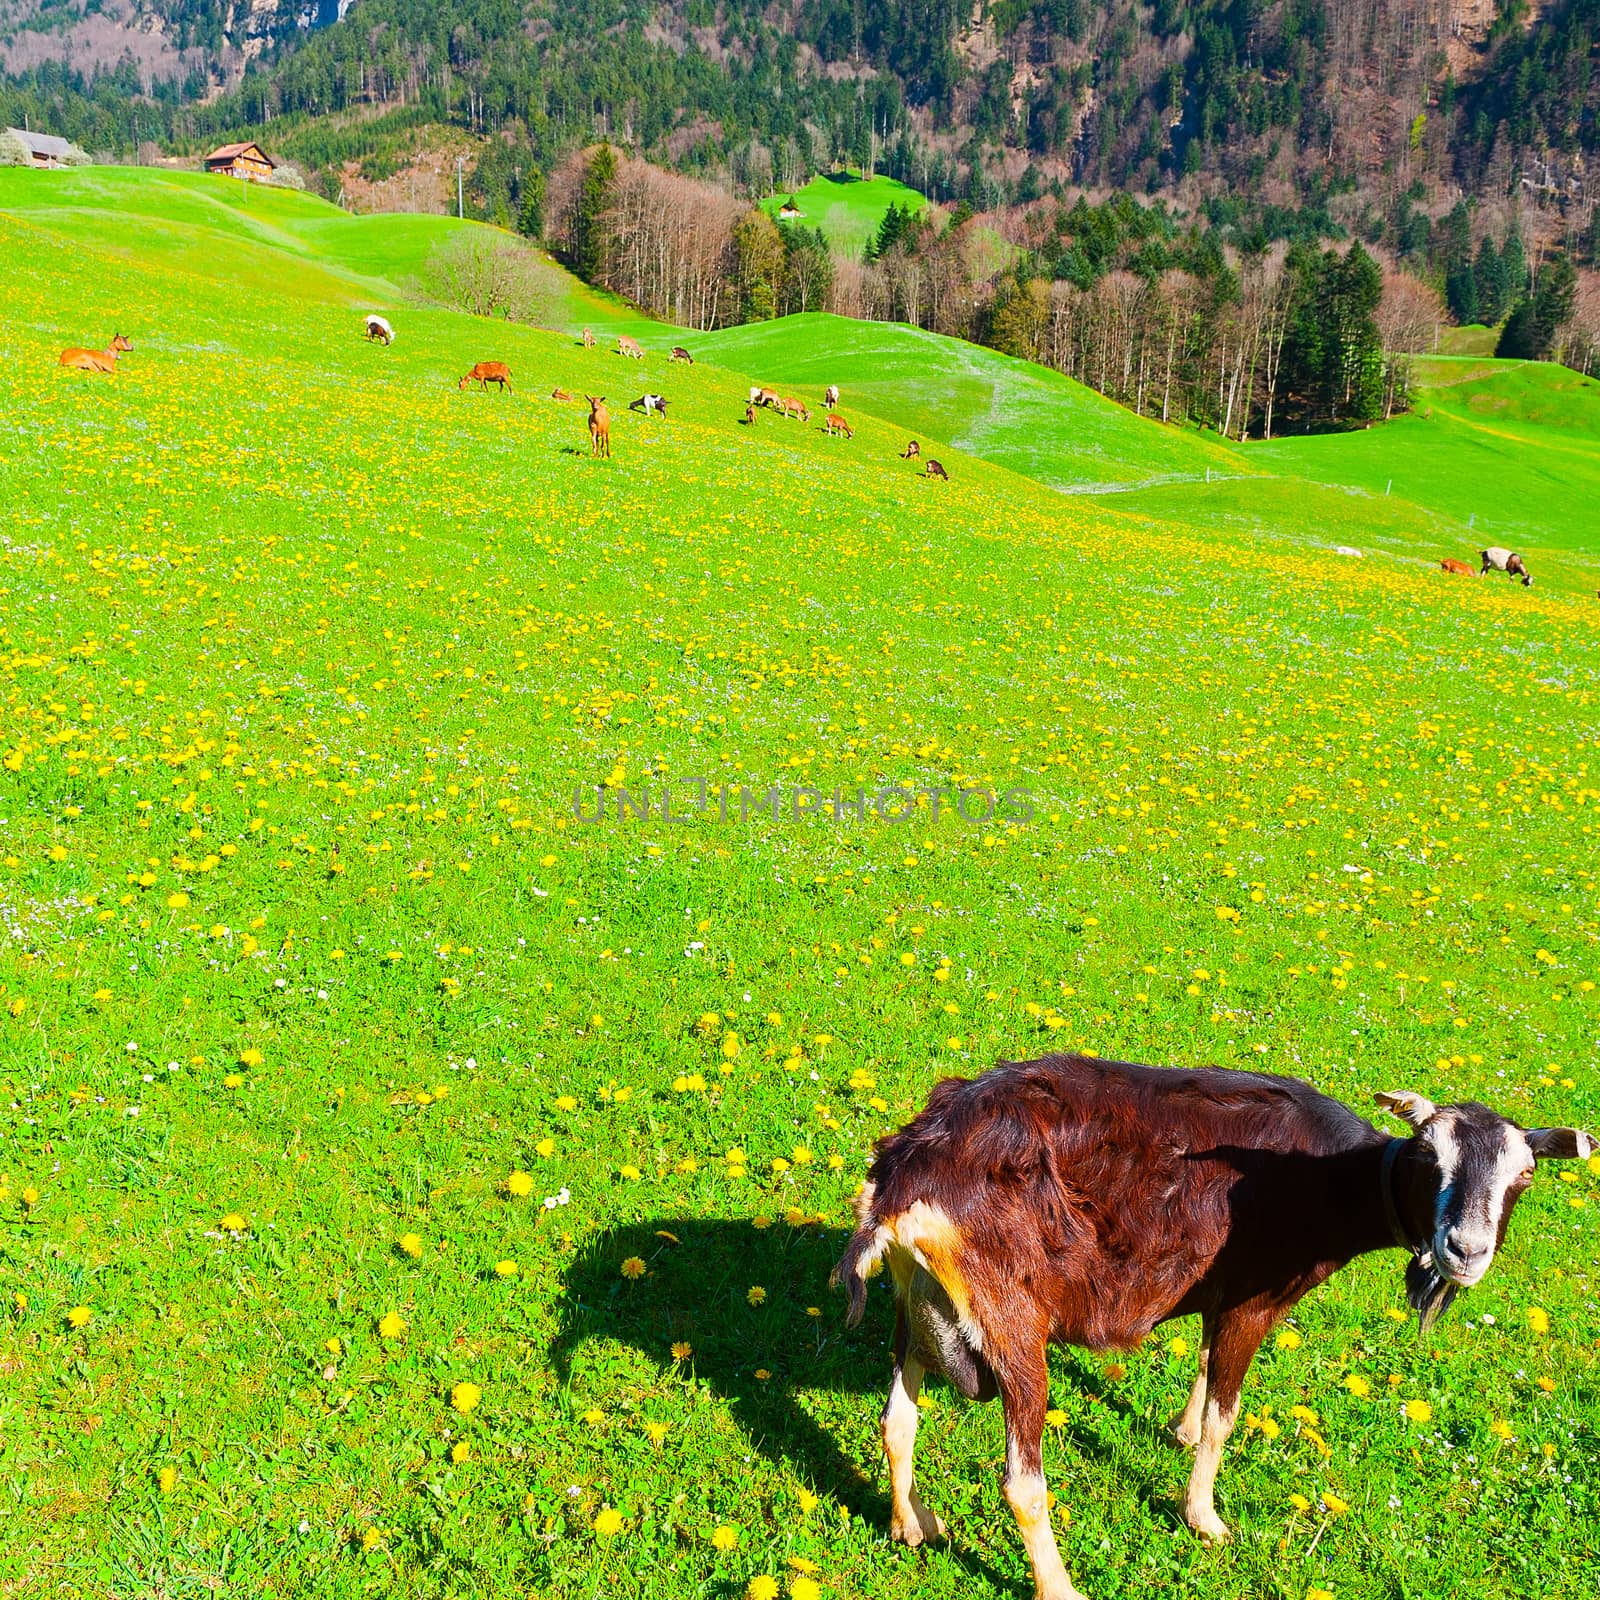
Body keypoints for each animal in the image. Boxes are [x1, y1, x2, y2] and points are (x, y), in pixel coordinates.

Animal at [832, 1049, 1593, 1600]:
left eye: (1524, 1177)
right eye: (1429, 1156)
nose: (1465, 1250)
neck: (1333, 1177)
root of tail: (902, 1180)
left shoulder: (1220, 1290)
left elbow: (1202, 1363)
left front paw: (1180, 1428)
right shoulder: (1256, 1303)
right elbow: (1228, 1414)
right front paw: (1205, 1517)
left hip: (918, 1304)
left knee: (897, 1421)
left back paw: (914, 1524)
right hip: (1011, 1320)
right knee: (1022, 1480)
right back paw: (1059, 1587)